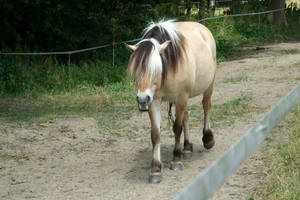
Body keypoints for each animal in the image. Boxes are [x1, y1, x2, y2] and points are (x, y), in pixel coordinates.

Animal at [126, 19, 216, 183]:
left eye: (155, 69)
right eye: (136, 71)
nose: (141, 100)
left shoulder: (181, 97)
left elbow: (177, 128)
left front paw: (176, 160)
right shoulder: (154, 101)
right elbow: (155, 134)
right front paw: (155, 169)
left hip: (208, 86)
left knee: (206, 107)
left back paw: (207, 139)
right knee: (186, 115)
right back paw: (186, 148)